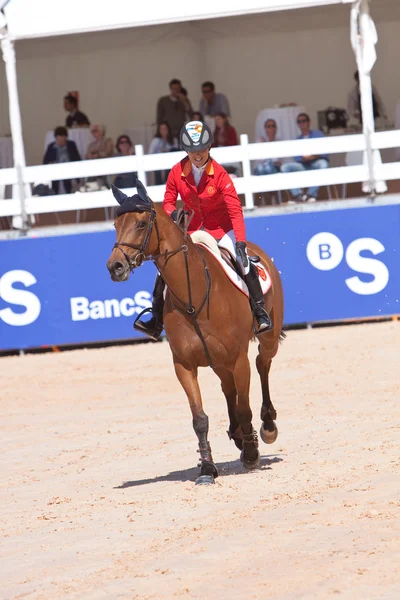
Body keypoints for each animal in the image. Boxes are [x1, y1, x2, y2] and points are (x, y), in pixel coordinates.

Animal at [106, 180, 284, 486]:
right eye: (117, 225)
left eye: (141, 223)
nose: (115, 266)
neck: (196, 293)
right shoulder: (184, 365)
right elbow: (199, 419)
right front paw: (207, 468)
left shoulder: (239, 359)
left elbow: (244, 407)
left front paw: (251, 453)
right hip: (217, 361)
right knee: (228, 387)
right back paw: (237, 434)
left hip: (266, 338)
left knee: (263, 364)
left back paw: (266, 425)